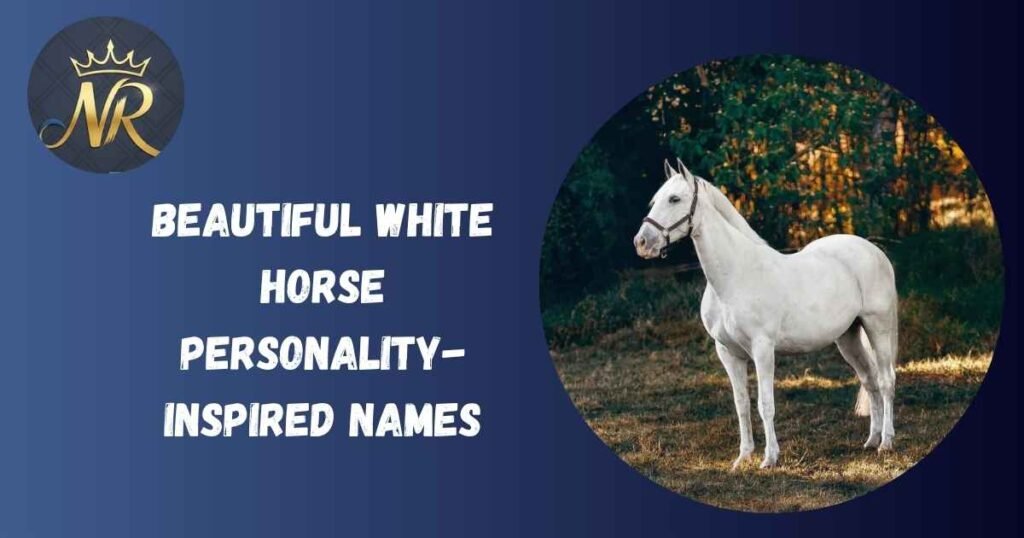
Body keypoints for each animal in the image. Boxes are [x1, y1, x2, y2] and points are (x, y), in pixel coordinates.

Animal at [633, 158, 898, 470]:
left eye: (675, 199)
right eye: (655, 200)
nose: (641, 243)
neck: (734, 276)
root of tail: (874, 251)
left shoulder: (762, 349)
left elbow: (765, 404)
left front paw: (769, 458)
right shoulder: (728, 352)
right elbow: (742, 405)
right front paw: (743, 457)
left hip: (877, 327)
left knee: (886, 380)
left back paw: (886, 443)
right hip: (848, 337)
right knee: (869, 380)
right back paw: (871, 440)